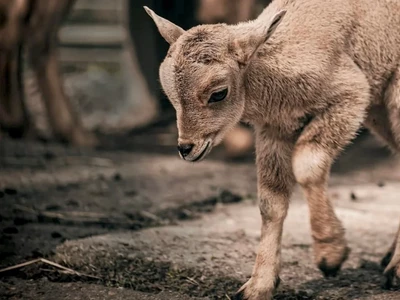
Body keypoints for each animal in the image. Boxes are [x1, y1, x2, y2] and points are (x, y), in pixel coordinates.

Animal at [145, 0, 400, 298]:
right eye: (171, 95)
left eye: (219, 93)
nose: (186, 148)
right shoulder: (274, 128)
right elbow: (270, 201)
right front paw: (259, 285)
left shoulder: (350, 95)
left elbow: (307, 165)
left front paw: (330, 254)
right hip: (379, 111)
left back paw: (394, 267)